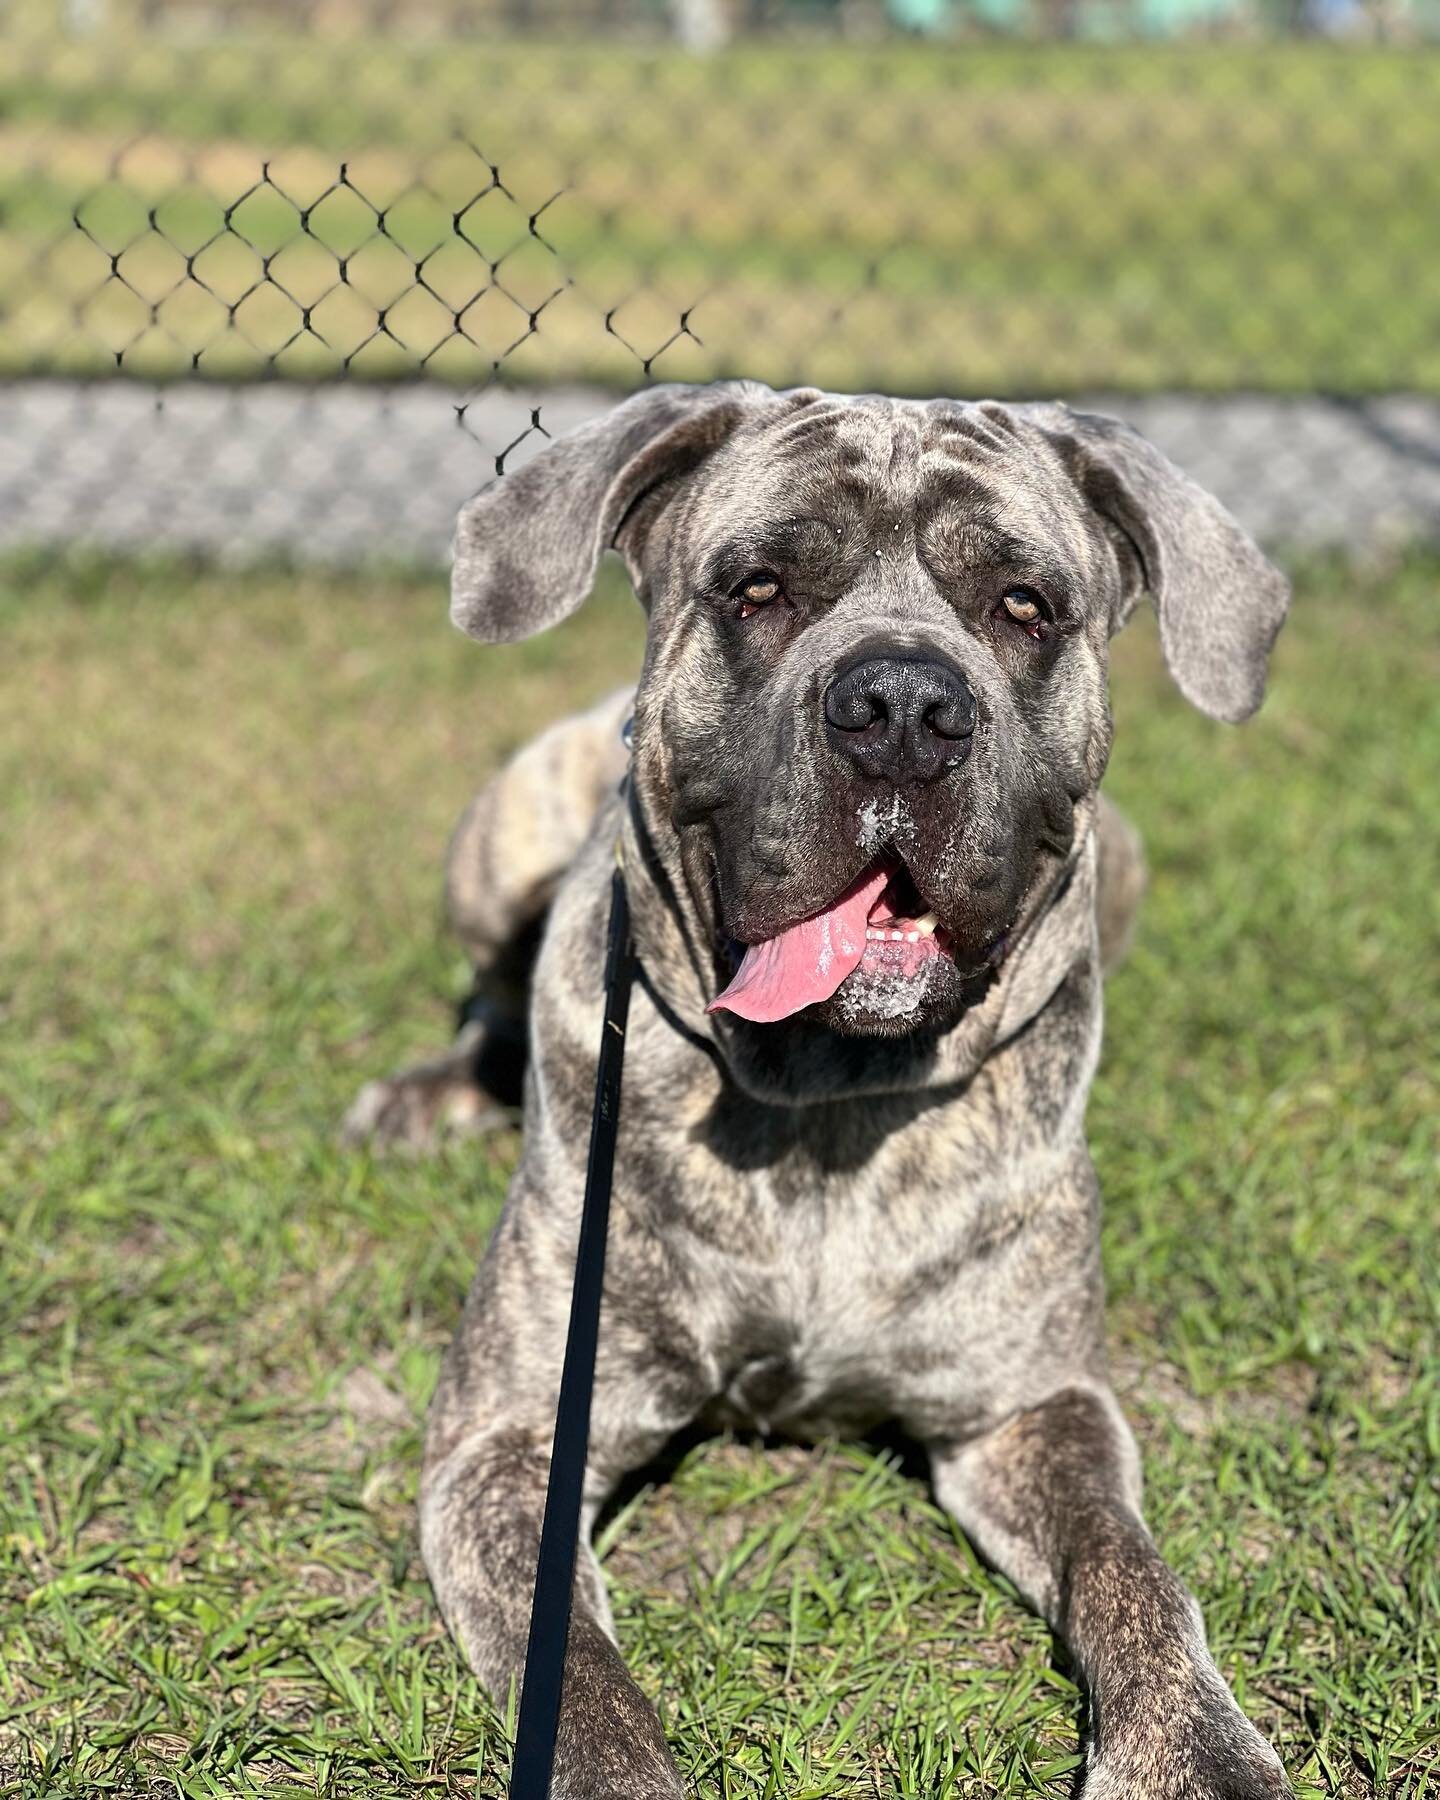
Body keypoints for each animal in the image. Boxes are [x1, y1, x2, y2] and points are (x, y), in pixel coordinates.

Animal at [345, 383, 1296, 1800]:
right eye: (758, 588)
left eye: (1025, 604)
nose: (902, 704)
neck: (829, 1102)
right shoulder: (510, 1439)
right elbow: (575, 1677)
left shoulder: (1032, 1409)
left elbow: (1135, 1575)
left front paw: (1197, 1753)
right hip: (500, 827)